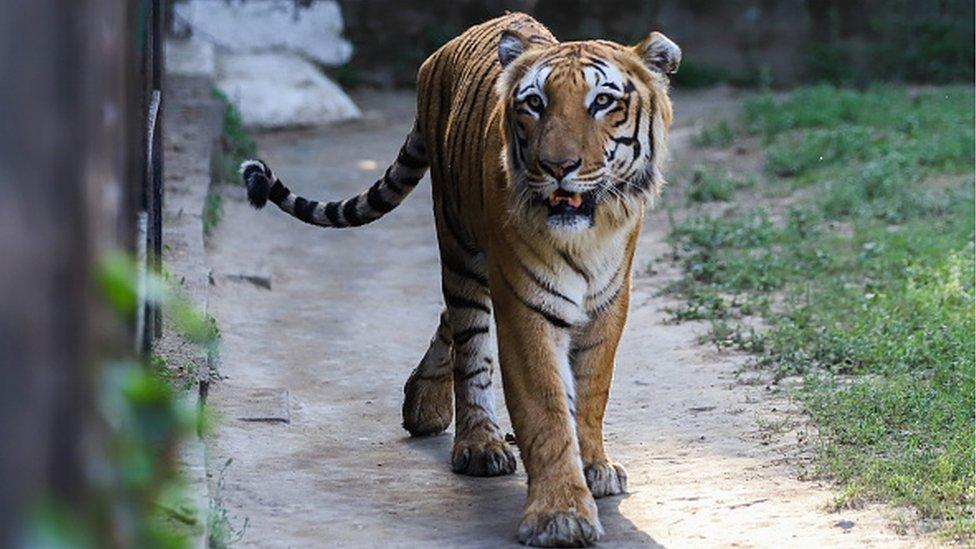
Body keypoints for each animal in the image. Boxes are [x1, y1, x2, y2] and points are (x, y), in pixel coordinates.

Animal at [242, 11, 680, 544]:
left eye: (602, 102)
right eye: (535, 104)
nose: (557, 167)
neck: (587, 236)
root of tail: (446, 49)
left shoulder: (608, 304)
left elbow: (592, 391)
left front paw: (594, 467)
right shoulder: (526, 303)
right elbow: (546, 407)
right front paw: (559, 515)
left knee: (448, 322)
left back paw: (422, 404)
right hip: (461, 249)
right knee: (469, 346)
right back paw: (477, 445)